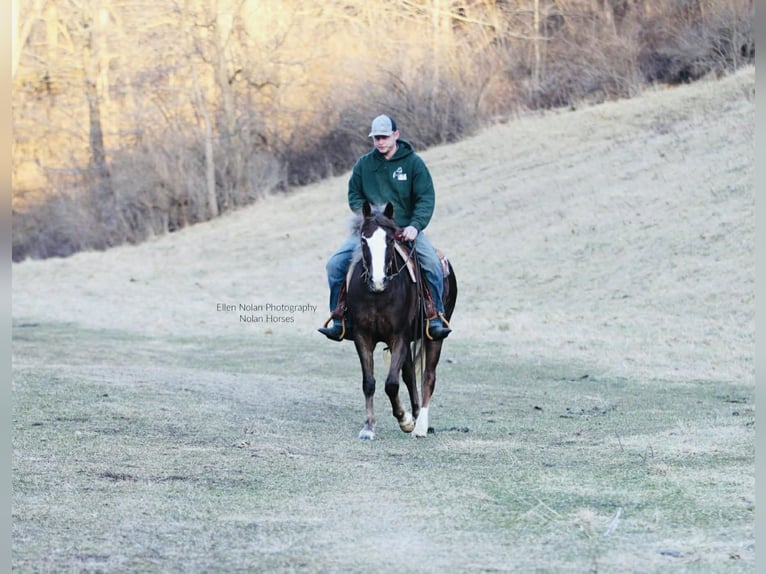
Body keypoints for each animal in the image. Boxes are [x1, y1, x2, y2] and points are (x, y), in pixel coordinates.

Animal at [346, 201, 457, 439]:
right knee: (409, 375)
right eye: (363, 239)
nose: (378, 280)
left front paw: (404, 420)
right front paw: (369, 426)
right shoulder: (362, 336)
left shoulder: (399, 337)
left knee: (428, 377)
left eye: (390, 240)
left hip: (434, 337)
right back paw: (415, 415)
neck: (379, 295)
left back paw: (420, 425)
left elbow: (391, 384)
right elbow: (369, 382)